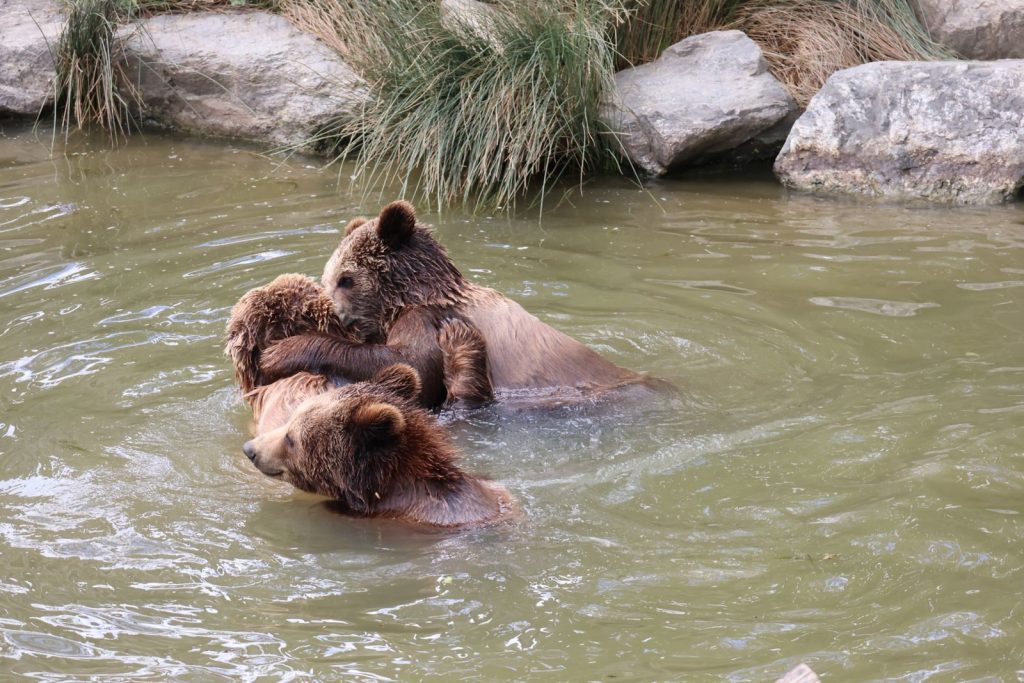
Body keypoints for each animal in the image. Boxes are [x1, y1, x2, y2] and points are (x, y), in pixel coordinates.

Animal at [258, 201, 647, 406]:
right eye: (326, 278)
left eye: (346, 278)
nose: (337, 315)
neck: (409, 297)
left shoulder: (430, 319)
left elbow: (410, 364)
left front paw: (280, 352)